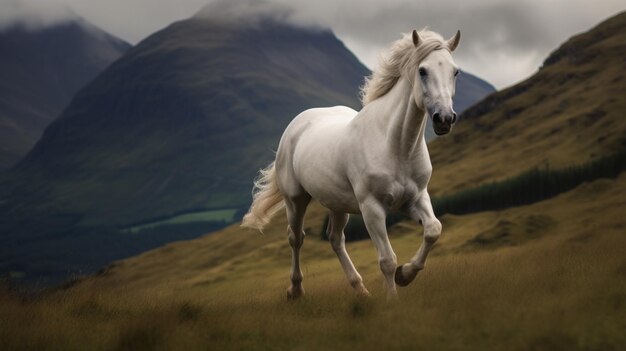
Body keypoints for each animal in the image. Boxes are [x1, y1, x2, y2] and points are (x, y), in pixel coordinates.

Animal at [241, 28, 460, 302]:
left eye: (455, 71)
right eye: (422, 70)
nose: (445, 119)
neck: (395, 145)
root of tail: (295, 125)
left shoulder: (416, 198)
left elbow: (433, 230)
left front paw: (405, 274)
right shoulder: (372, 208)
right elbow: (387, 259)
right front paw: (392, 299)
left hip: (337, 204)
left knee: (335, 239)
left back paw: (360, 289)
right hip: (295, 200)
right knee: (296, 238)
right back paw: (296, 290)